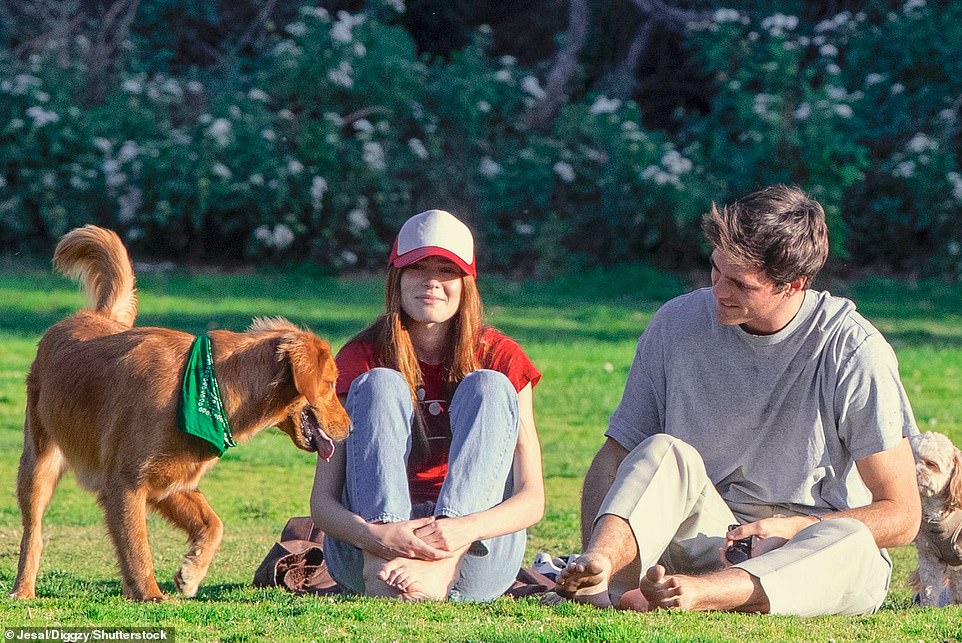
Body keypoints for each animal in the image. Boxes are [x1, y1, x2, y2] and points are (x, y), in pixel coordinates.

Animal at [11, 226, 350, 604]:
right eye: (331, 383)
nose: (350, 428)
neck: (211, 384)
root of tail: (95, 316)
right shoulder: (126, 482)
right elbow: (137, 546)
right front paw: (150, 593)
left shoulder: (169, 481)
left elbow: (212, 524)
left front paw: (190, 573)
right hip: (38, 463)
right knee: (33, 533)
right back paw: (23, 589)